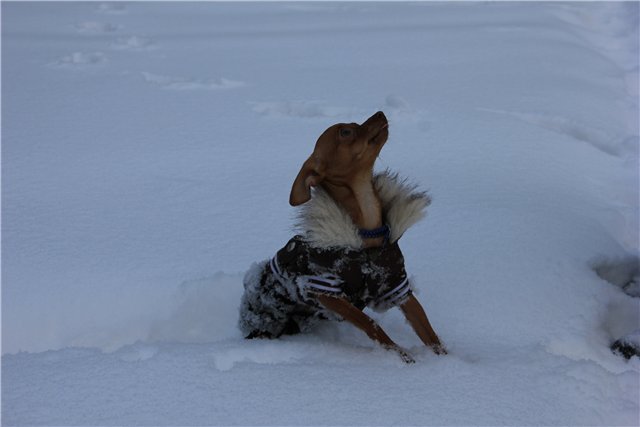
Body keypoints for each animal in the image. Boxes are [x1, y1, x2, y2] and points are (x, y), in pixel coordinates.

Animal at [239, 111, 445, 363]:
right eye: (345, 132)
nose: (380, 113)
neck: (367, 234)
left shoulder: (396, 284)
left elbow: (428, 330)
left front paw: (451, 361)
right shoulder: (324, 291)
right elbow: (370, 324)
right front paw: (402, 356)